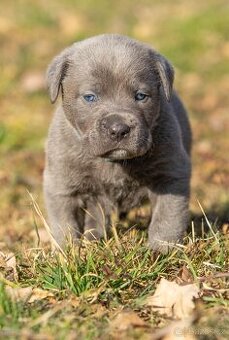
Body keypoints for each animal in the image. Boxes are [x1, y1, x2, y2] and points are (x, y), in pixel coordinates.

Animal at [43, 33, 191, 252]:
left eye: (141, 96)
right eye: (90, 97)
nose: (119, 129)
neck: (113, 163)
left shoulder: (171, 175)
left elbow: (167, 218)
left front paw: (162, 250)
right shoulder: (61, 183)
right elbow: (65, 223)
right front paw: (68, 253)